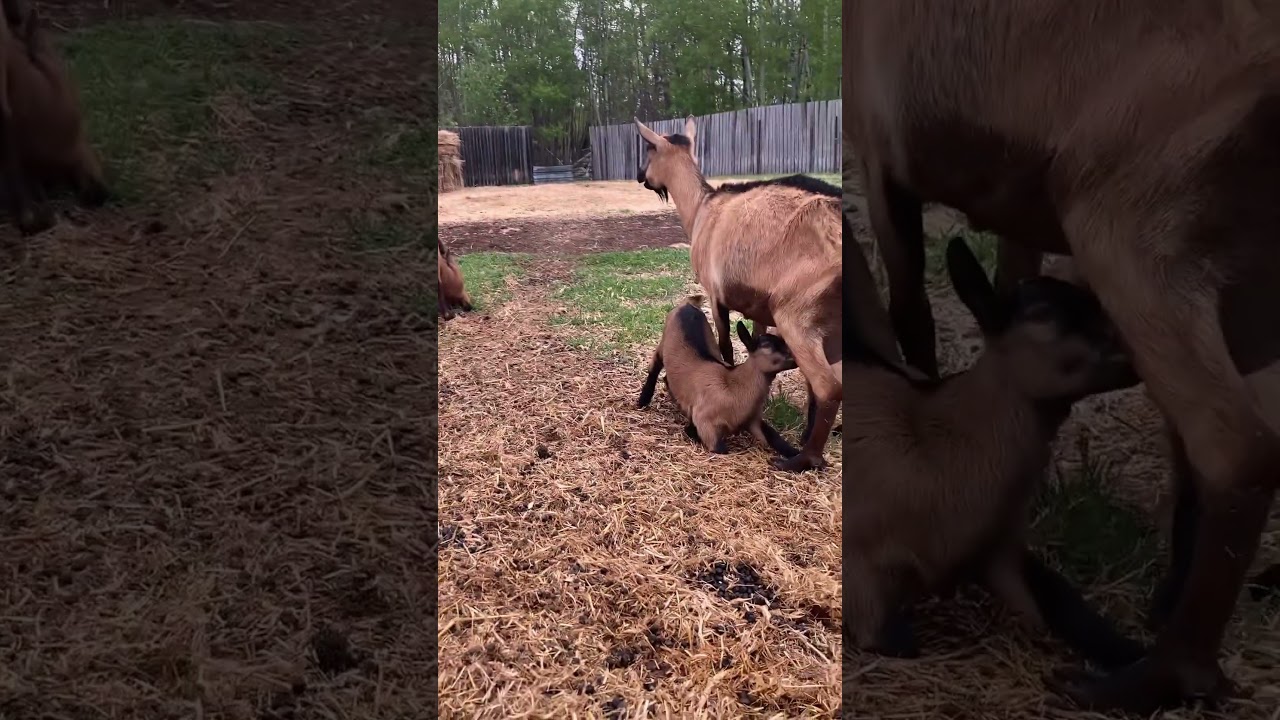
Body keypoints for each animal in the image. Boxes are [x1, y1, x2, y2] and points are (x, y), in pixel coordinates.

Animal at [637, 296, 798, 459]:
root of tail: (688, 304)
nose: (796, 356)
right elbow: (719, 449)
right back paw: (643, 400)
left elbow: (774, 436)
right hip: (663, 342)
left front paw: (794, 453)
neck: (734, 386)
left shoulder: (753, 419)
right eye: (768, 345)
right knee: (654, 367)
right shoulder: (705, 422)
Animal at [845, 235, 1142, 666]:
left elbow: (1054, 607)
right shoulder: (863, 574)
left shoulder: (1000, 551)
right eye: (1042, 314)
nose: (1135, 351)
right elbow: (894, 640)